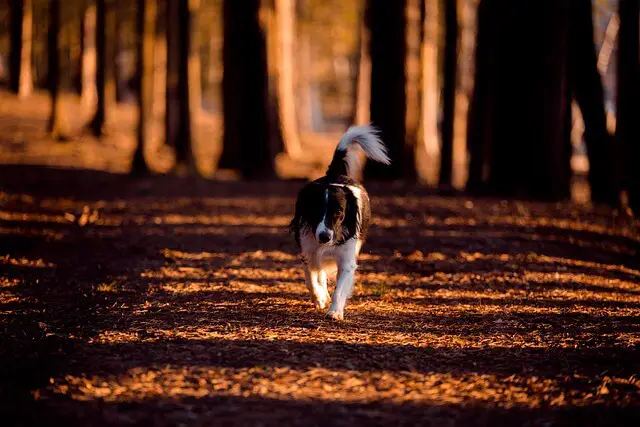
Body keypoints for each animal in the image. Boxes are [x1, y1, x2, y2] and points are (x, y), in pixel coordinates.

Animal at [290, 125, 390, 320]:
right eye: (316, 210)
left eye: (338, 212)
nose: (324, 237)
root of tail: (334, 174)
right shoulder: (308, 250)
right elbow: (311, 279)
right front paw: (320, 298)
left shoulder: (347, 259)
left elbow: (340, 288)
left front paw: (335, 311)